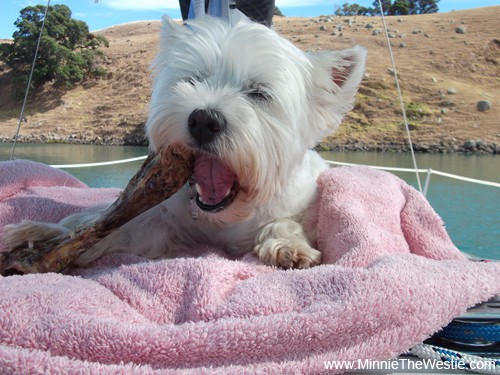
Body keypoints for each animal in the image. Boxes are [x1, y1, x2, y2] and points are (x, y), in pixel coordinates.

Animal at [4, 16, 368, 270]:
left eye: (258, 93)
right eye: (192, 80)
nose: (203, 120)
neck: (221, 220)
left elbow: (284, 222)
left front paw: (290, 247)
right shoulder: (162, 220)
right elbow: (119, 229)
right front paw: (54, 246)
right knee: (84, 219)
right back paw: (36, 231)